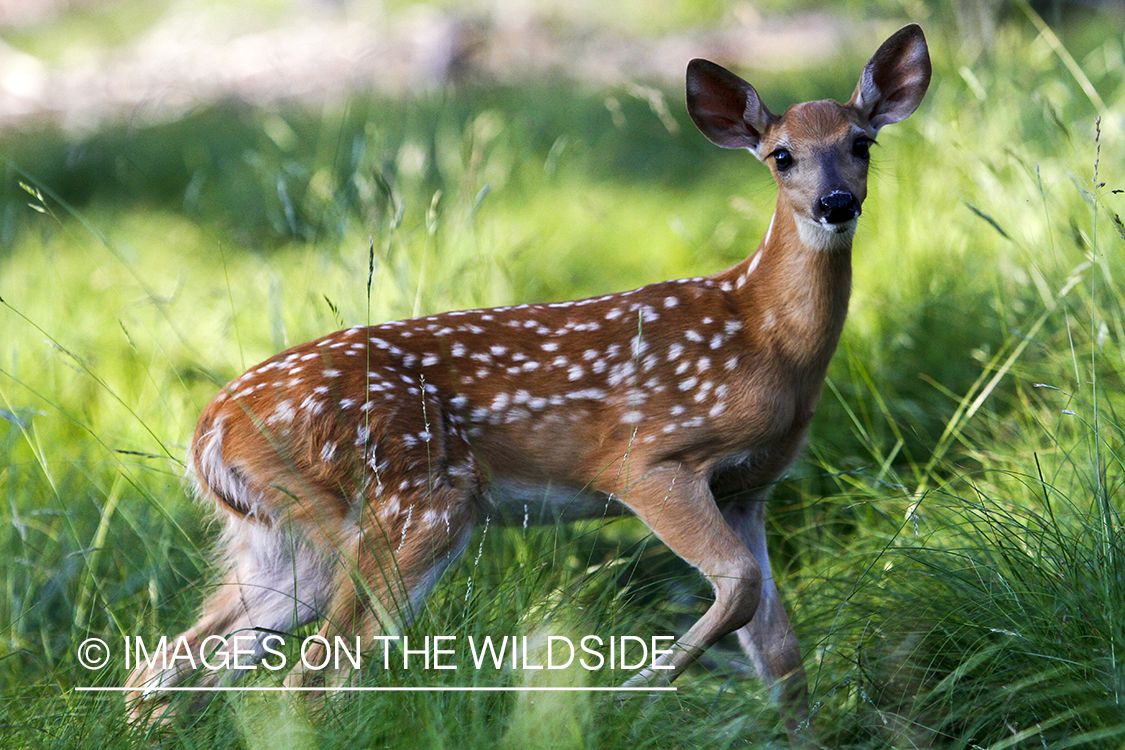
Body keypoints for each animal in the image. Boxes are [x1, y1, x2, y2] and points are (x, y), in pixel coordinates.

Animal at [126, 24, 930, 745]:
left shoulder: (749, 489)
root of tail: (210, 429)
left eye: (862, 143)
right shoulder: (647, 460)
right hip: (411, 503)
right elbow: (736, 588)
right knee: (313, 674)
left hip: (282, 540)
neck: (763, 334)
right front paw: (629, 690)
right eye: (780, 156)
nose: (835, 203)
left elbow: (779, 650)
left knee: (175, 663)